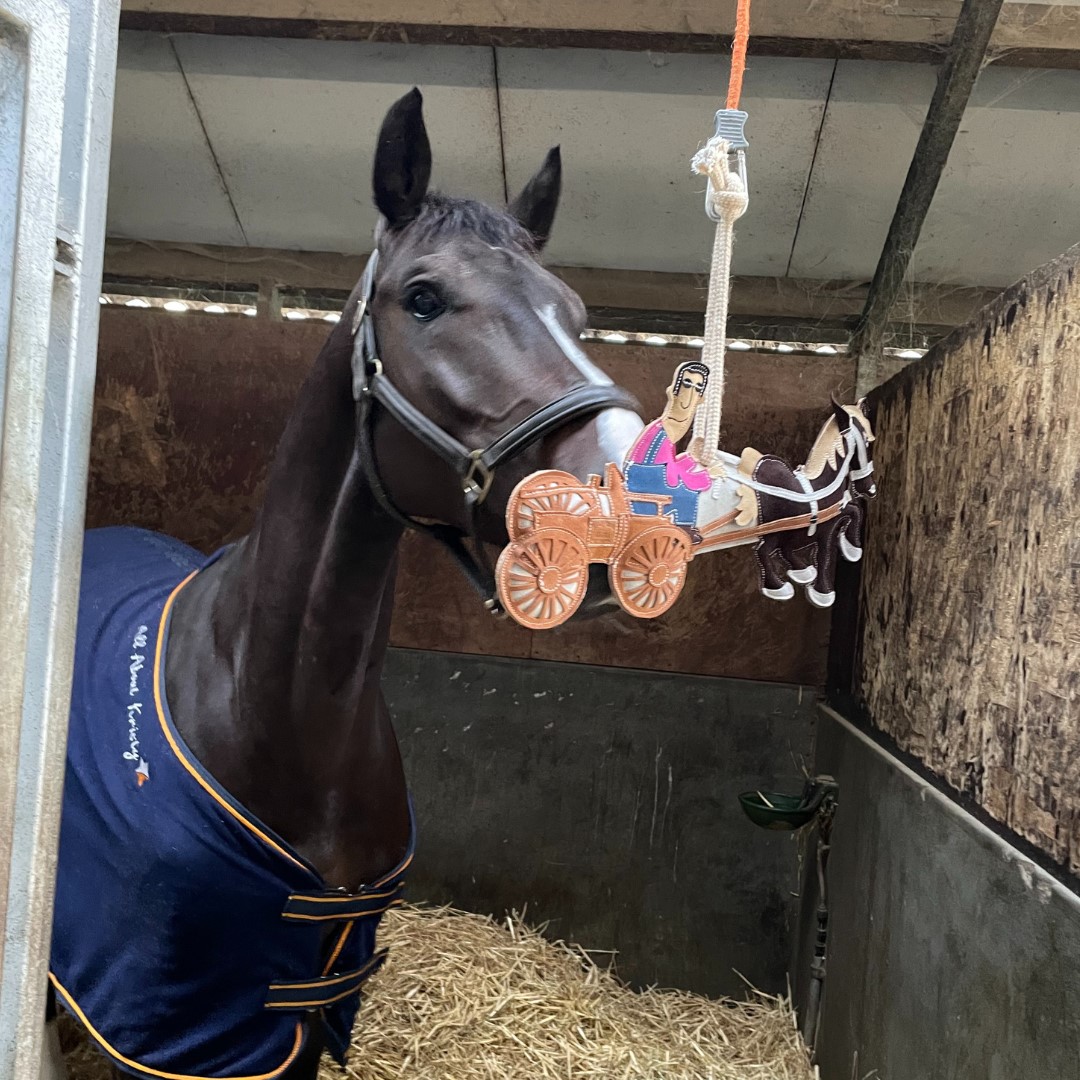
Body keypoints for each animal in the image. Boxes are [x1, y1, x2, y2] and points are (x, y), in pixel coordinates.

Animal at [42, 88, 643, 1080]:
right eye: (424, 297)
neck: (278, 712)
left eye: (576, 311)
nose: (634, 508)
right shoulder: (181, 1020)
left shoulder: (313, 1000)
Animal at [692, 398, 876, 608]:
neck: (820, 487)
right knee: (762, 551)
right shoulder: (824, 527)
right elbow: (825, 554)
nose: (870, 489)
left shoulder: (813, 523)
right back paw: (777, 587)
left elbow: (854, 510)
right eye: (867, 442)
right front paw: (823, 592)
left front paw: (849, 548)